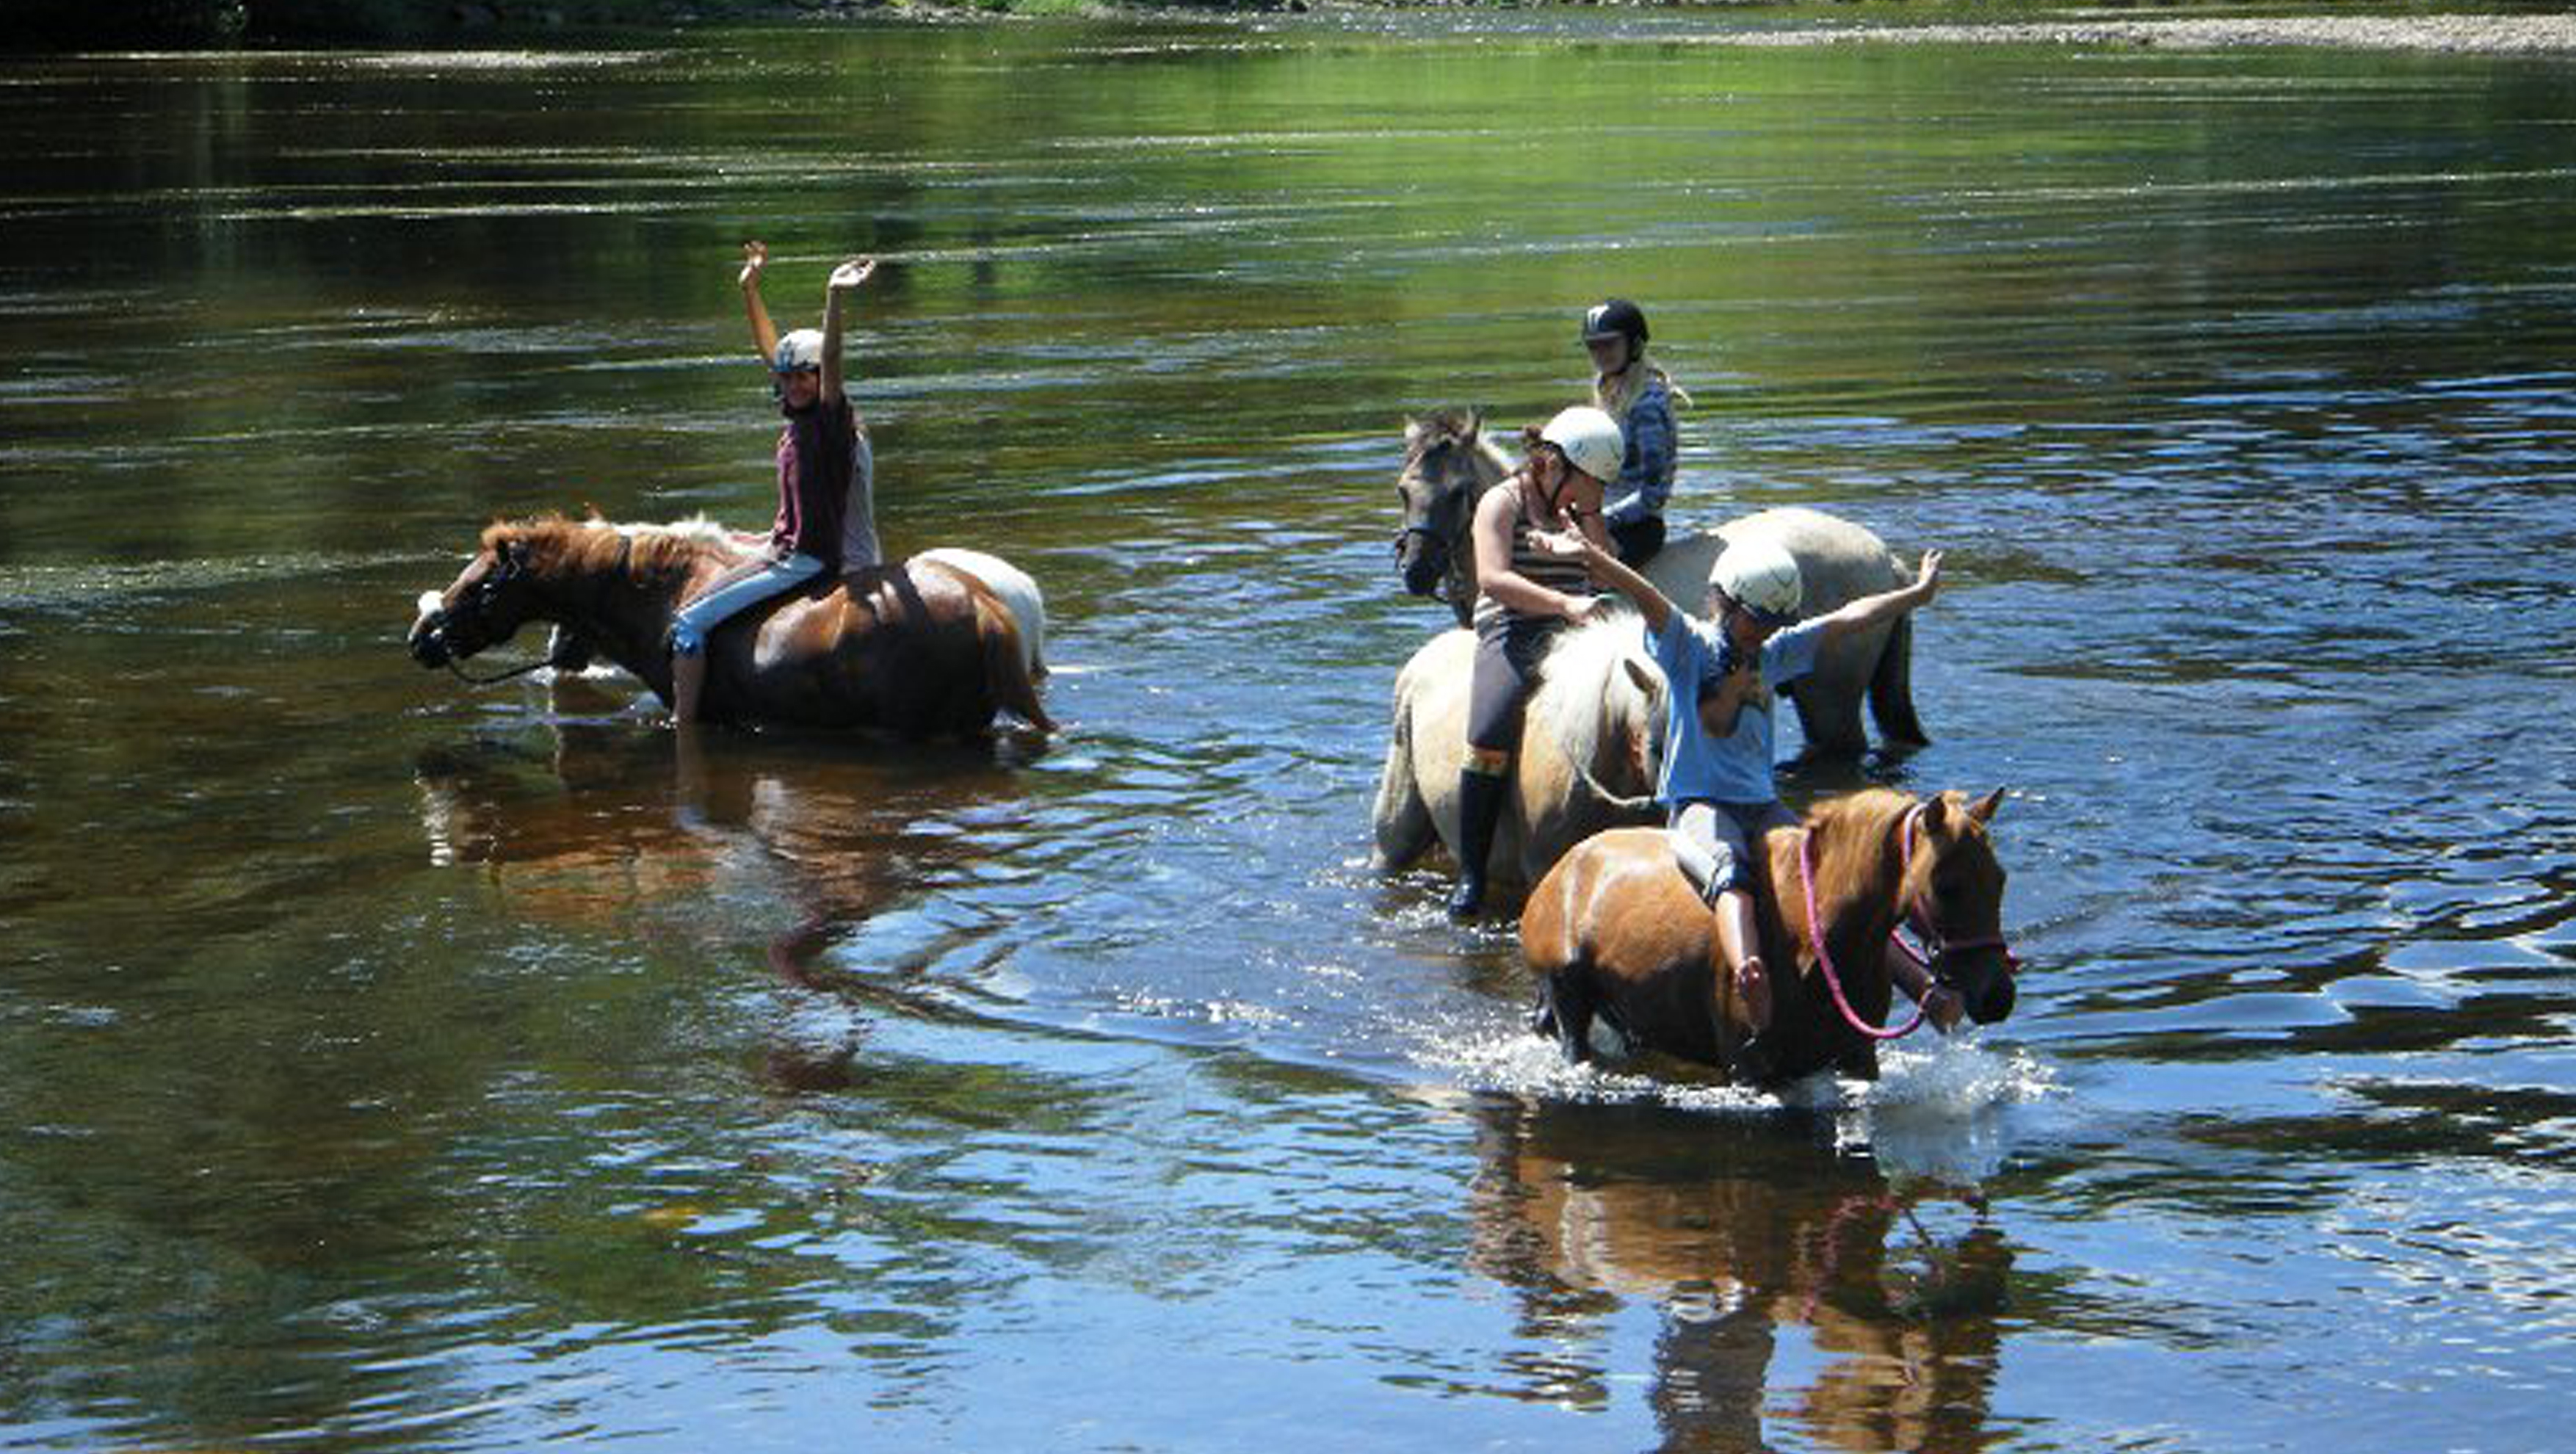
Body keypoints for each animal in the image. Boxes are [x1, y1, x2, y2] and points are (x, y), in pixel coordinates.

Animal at [1514, 789, 2019, 1082]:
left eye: (2000, 879)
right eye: (1947, 886)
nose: (1998, 996)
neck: (1813, 941)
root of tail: (1560, 873)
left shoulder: (1860, 1057)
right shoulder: (1749, 1068)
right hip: (1567, 995)